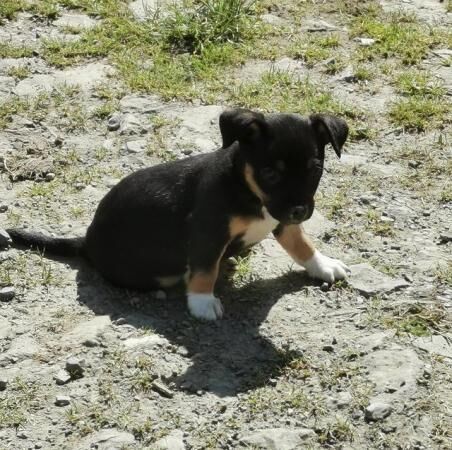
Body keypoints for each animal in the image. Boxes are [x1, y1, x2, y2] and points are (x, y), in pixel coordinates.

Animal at [6, 108, 350, 320]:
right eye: (270, 173)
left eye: (315, 169)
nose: (299, 210)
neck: (246, 188)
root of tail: (86, 242)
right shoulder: (207, 231)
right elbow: (205, 269)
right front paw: (202, 302)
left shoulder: (283, 222)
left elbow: (302, 245)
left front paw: (323, 265)